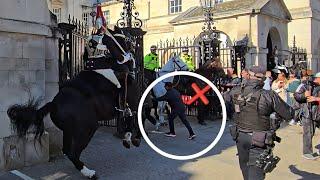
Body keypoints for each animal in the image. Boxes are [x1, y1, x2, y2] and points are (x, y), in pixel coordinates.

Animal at [6, 26, 141, 179]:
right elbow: (135, 117)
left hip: (69, 131)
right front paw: (134, 138)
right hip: (86, 128)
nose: (133, 46)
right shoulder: (133, 103)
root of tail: (54, 104)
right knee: (73, 153)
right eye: (125, 36)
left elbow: (130, 118)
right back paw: (89, 172)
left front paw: (129, 138)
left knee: (67, 150)